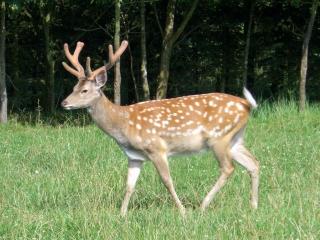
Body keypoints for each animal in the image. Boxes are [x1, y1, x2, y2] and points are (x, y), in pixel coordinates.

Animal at [60, 40, 260, 217]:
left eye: (84, 90)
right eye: (73, 87)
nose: (64, 103)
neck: (123, 125)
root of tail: (246, 105)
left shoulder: (156, 148)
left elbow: (167, 181)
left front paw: (182, 211)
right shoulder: (134, 156)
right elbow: (129, 186)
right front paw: (122, 215)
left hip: (218, 138)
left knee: (228, 168)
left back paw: (203, 205)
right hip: (235, 139)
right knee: (254, 163)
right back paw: (253, 205)